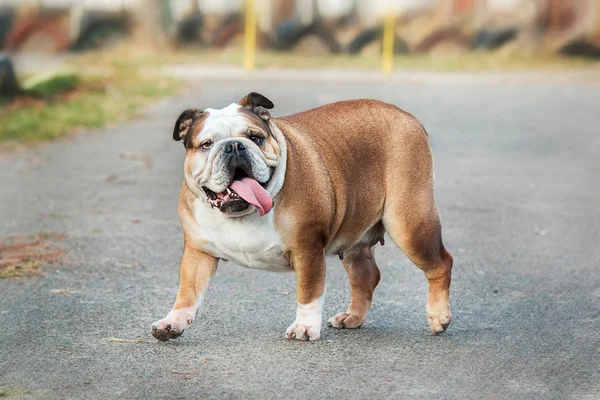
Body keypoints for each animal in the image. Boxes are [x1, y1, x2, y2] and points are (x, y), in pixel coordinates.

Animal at [152, 93, 452, 340]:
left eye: (255, 138)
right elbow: (187, 292)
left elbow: (308, 292)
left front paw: (305, 327)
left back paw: (438, 317)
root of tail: (408, 117)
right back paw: (353, 317)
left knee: (441, 264)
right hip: (354, 238)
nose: (234, 146)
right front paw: (172, 322)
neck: (243, 213)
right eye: (206, 145)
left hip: (409, 224)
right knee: (365, 276)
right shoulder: (198, 252)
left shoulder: (306, 247)